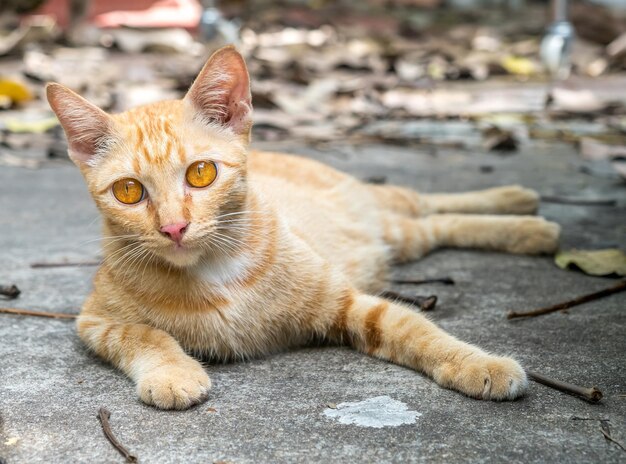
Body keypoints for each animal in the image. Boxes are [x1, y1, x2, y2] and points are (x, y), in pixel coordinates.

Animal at [46, 46, 560, 410]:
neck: (214, 271)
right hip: (400, 235)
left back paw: (522, 208)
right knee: (433, 224)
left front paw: (478, 362)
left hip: (382, 212)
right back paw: (528, 221)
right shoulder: (96, 320)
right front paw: (172, 373)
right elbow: (145, 335)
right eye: (129, 191)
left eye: (201, 173)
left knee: (429, 204)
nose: (174, 227)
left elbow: (418, 330)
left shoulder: (348, 303)